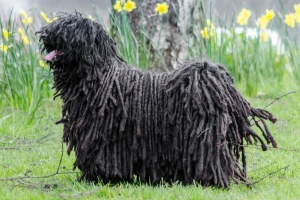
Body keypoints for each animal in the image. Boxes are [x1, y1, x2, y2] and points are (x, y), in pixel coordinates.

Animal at [37, 13, 276, 188]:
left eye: (68, 28)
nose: (46, 34)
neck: (99, 76)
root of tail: (214, 79)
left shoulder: (103, 136)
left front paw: (98, 177)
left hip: (205, 137)